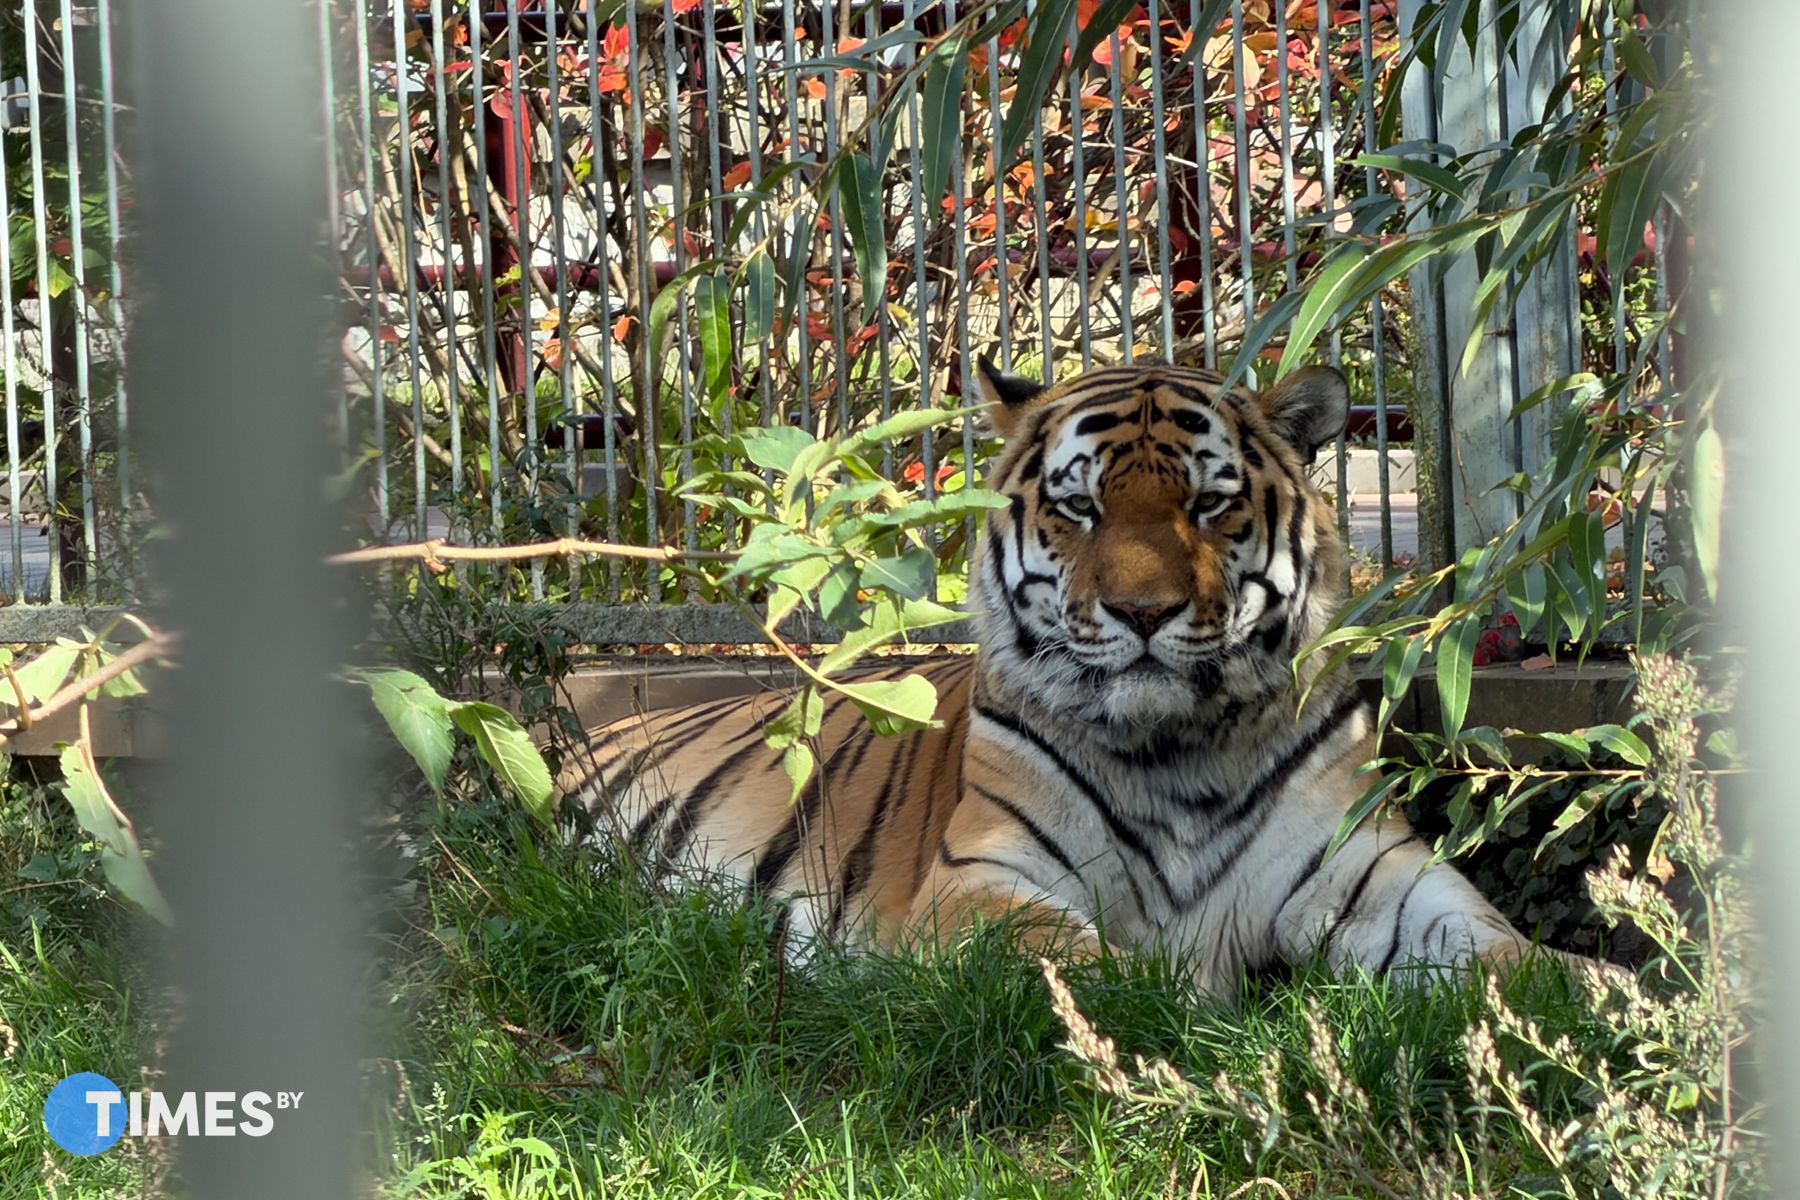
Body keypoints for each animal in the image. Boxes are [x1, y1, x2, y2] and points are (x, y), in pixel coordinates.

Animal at [559, 357, 1561, 997]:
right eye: (1079, 507)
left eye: (1211, 502)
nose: (1143, 612)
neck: (1180, 754)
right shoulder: (978, 880)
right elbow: (1081, 966)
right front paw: (1187, 1005)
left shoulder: (1373, 870)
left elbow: (1500, 949)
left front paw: (1581, 1001)